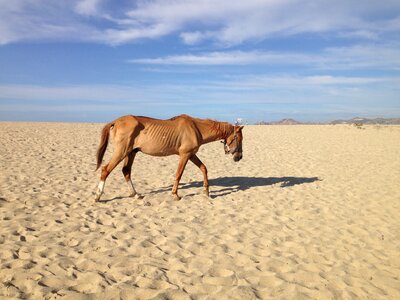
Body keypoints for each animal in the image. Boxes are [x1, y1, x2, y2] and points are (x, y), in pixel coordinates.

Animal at [94, 114, 244, 202]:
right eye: (240, 139)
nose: (239, 157)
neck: (196, 128)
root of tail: (115, 121)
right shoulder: (185, 155)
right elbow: (179, 174)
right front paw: (175, 194)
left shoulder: (191, 154)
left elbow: (204, 168)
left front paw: (206, 191)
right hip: (122, 152)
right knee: (106, 170)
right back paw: (98, 196)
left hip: (131, 153)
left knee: (126, 171)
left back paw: (136, 194)